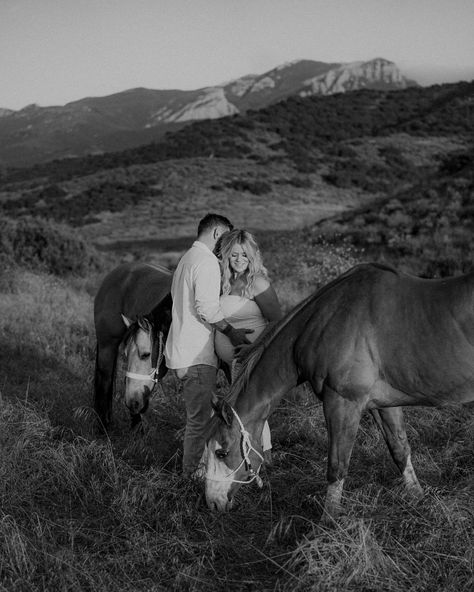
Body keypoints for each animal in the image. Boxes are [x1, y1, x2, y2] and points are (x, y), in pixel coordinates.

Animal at [206, 264, 474, 524]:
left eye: (221, 452)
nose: (212, 502)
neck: (322, 322)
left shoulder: (342, 403)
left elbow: (337, 465)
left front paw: (328, 521)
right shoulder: (383, 405)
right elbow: (400, 449)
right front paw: (418, 499)